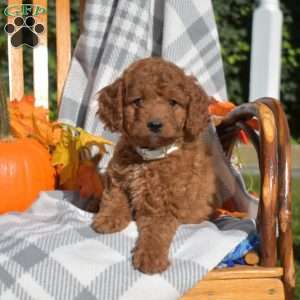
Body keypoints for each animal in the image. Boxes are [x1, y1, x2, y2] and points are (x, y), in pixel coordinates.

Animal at [92, 56, 216, 274]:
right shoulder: (117, 179)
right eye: (138, 101)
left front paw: (151, 258)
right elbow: (113, 199)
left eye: (172, 103)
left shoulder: (164, 204)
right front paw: (107, 219)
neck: (149, 156)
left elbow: (156, 231)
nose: (155, 125)